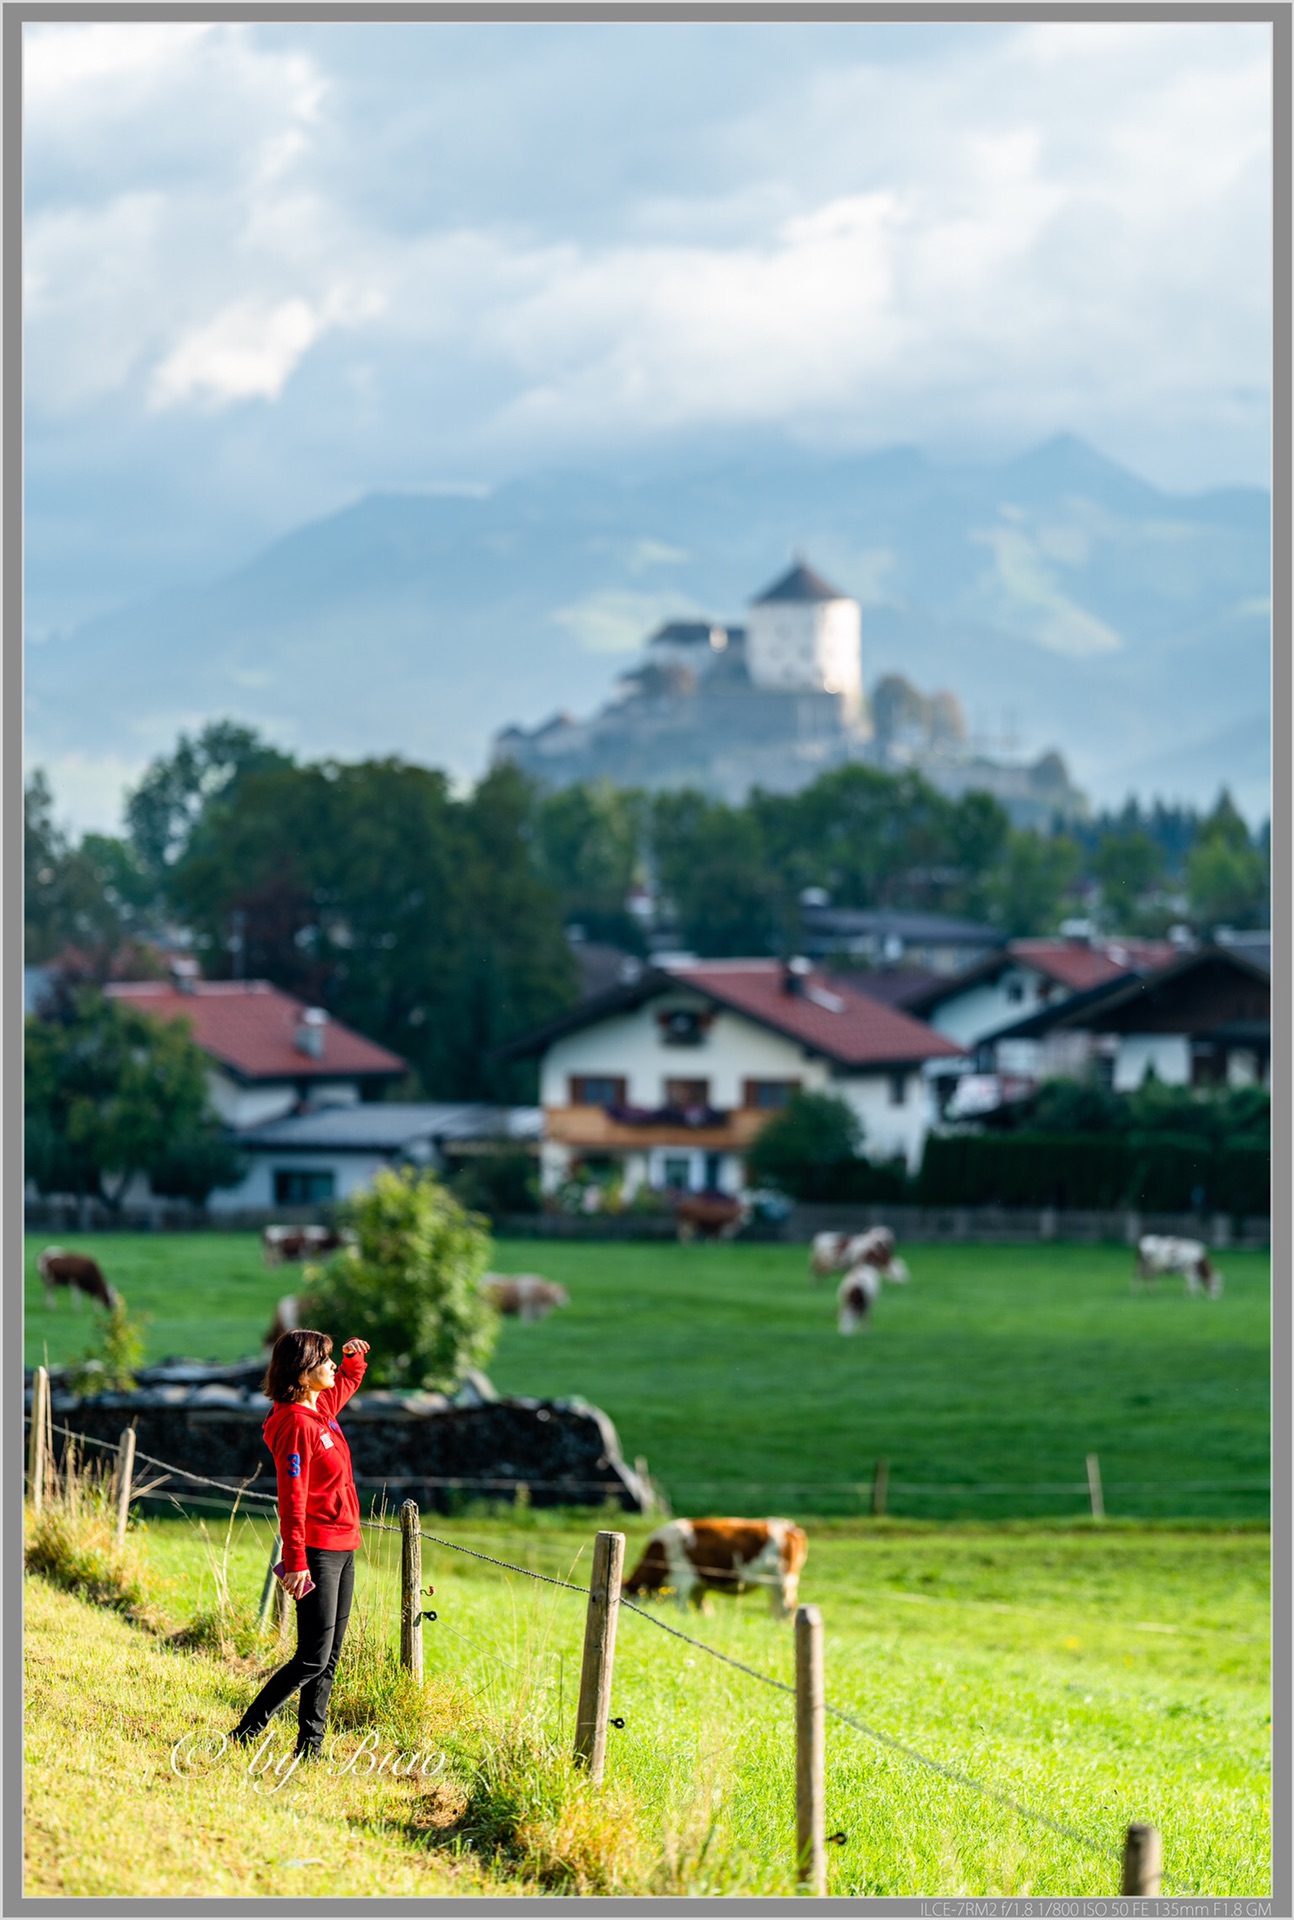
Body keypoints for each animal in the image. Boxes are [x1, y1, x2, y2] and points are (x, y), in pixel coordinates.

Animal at [618, 1512, 806, 1620]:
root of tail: (791, 1528)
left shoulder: (683, 1583)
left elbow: (683, 1610)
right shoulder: (698, 1588)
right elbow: (703, 1611)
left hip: (782, 1582)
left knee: (787, 1609)